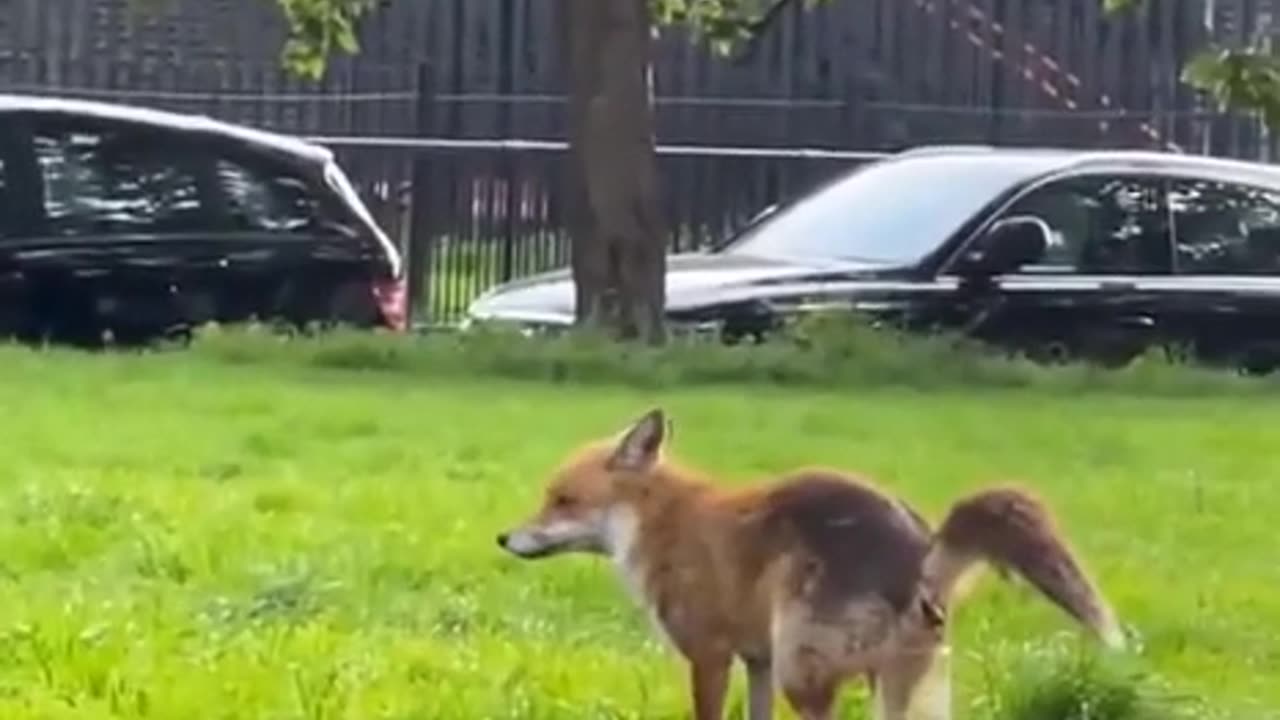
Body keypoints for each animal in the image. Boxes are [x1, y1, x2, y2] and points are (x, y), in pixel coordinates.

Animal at [496, 408, 1125, 720]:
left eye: (562, 500)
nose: (504, 537)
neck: (660, 524)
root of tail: (921, 547)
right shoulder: (756, 661)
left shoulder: (710, 655)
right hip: (898, 680)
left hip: (806, 674)